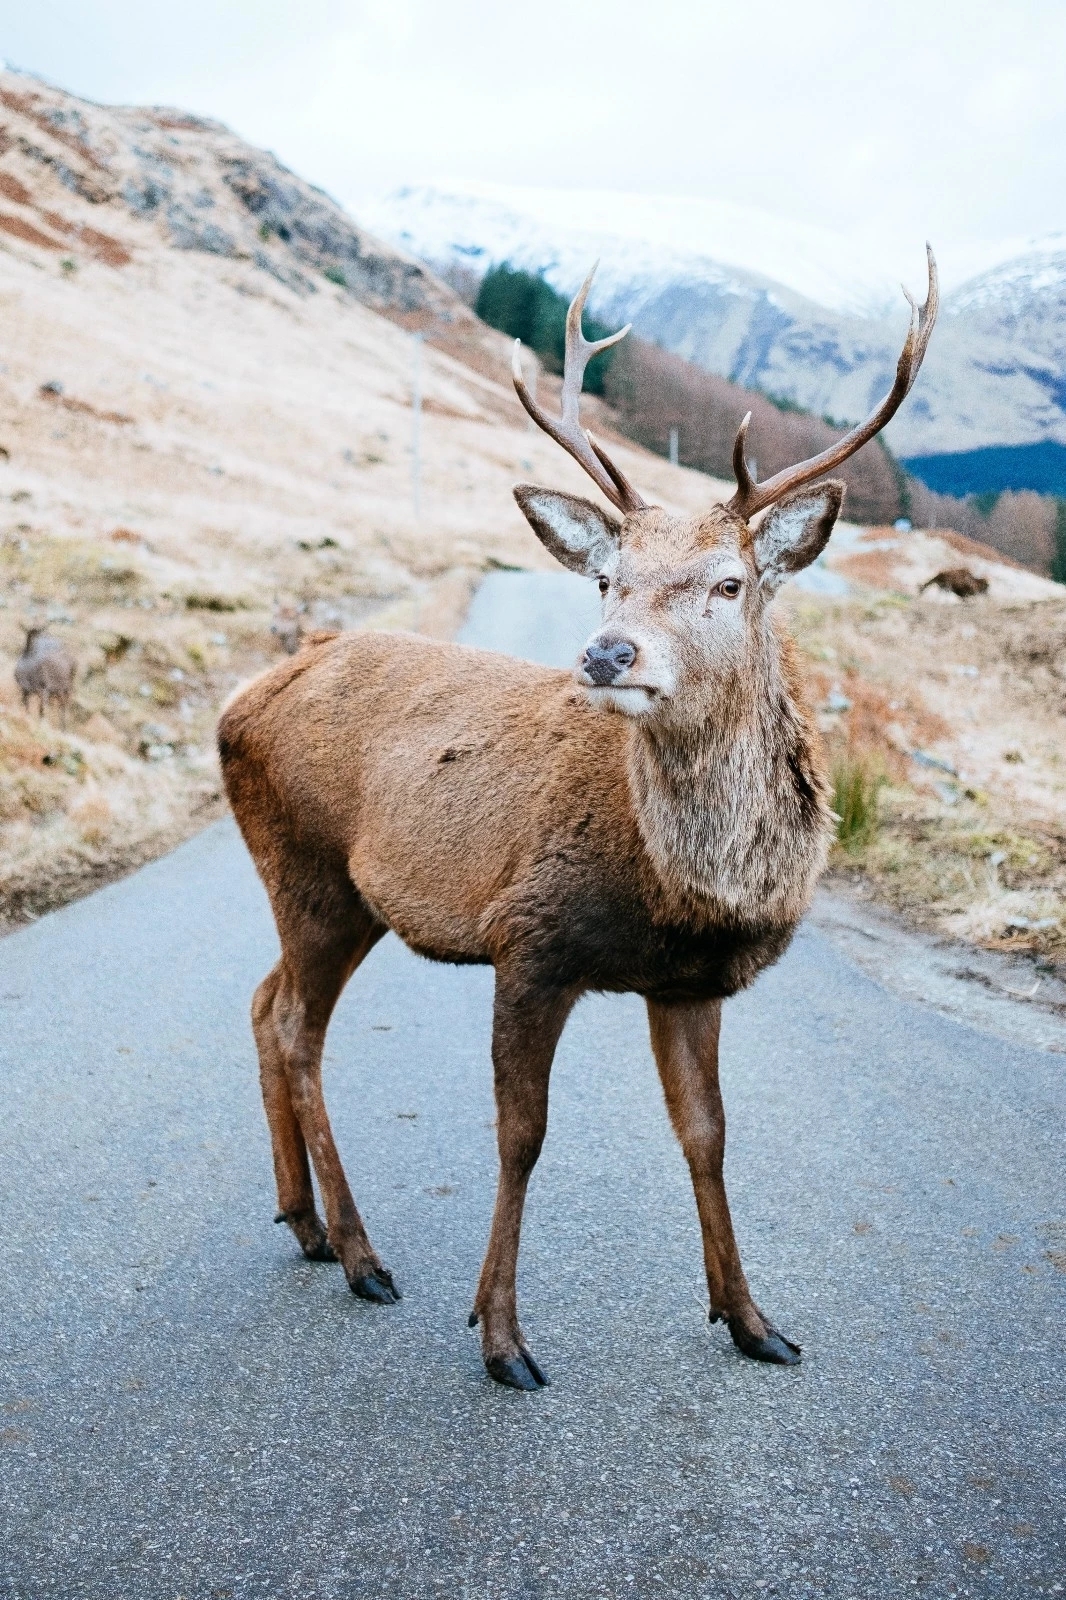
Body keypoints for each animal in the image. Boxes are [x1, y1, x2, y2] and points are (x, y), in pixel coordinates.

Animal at [217, 249, 941, 1388]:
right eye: (609, 577)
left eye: (728, 583)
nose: (607, 652)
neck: (678, 889)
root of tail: (238, 703)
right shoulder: (532, 937)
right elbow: (522, 1135)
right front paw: (502, 1335)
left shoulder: (689, 983)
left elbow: (707, 1135)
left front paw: (752, 1320)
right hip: (309, 865)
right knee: (295, 1024)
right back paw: (363, 1254)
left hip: (335, 891)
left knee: (261, 1000)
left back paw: (305, 1222)